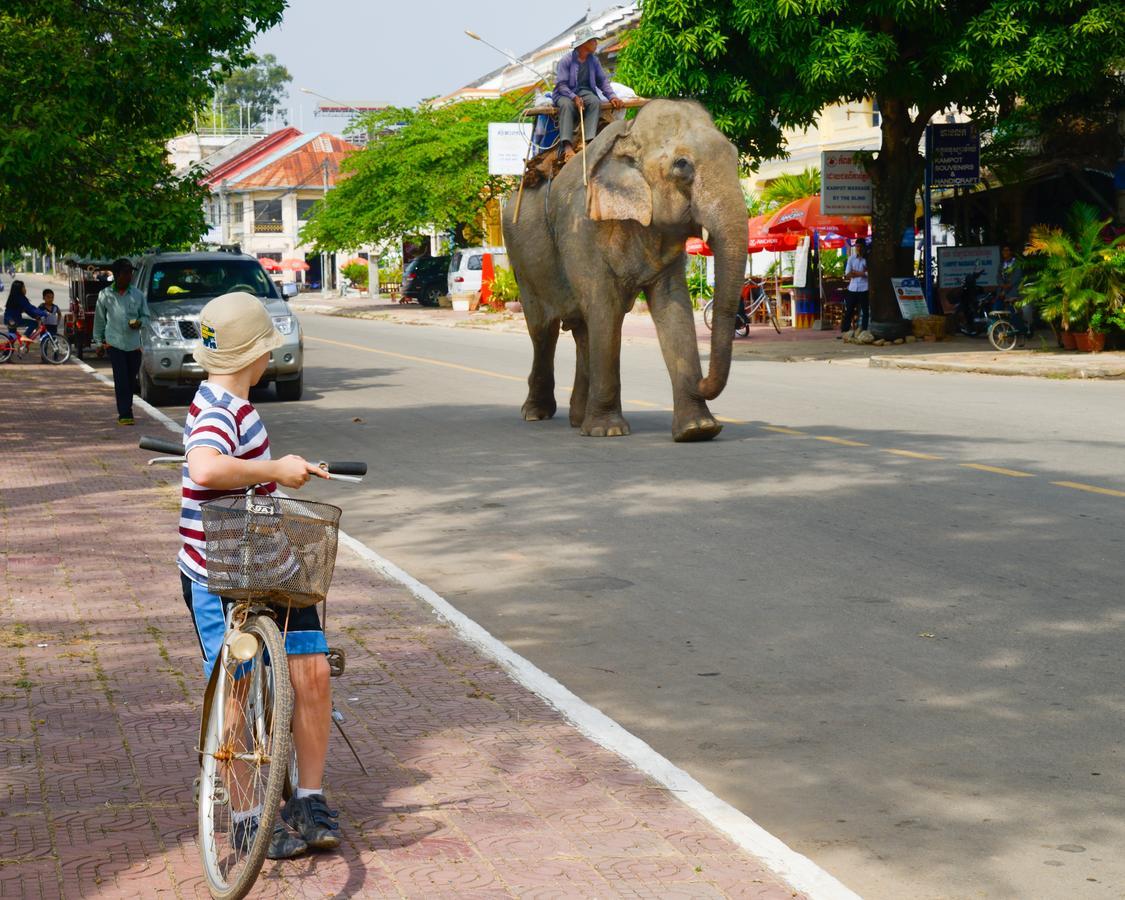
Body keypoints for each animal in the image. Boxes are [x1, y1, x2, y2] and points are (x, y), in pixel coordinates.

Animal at [501, 99, 747, 443]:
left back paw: (577, 419)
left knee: (582, 330)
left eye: (737, 158)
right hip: (523, 260)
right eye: (682, 165)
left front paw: (697, 430)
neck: (629, 138)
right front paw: (608, 431)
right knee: (542, 330)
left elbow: (674, 308)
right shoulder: (581, 228)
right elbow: (605, 308)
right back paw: (537, 414)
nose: (701, 383)